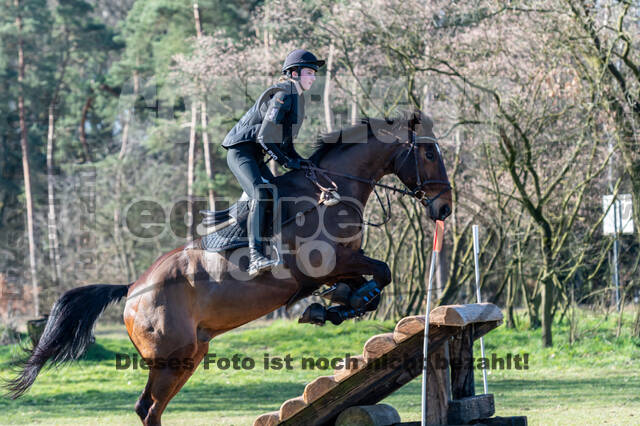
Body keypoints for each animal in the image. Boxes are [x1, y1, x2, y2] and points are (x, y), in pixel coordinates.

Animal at [7, 109, 452, 422]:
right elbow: (382, 272)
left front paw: (334, 306)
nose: (445, 207)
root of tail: (133, 290)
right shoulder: (329, 263)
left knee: (150, 408)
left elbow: (369, 280)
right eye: (429, 152)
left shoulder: (340, 266)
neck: (331, 191)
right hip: (172, 357)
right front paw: (338, 305)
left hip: (190, 355)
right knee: (148, 408)